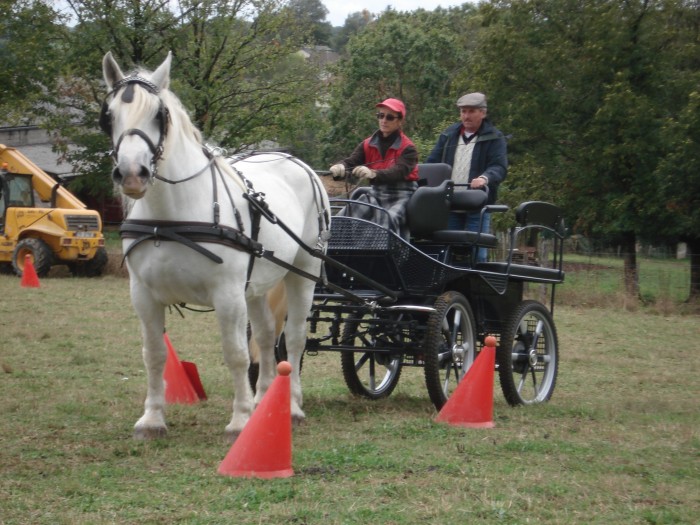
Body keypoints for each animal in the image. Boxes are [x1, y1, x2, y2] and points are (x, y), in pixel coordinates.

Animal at [101, 52, 330, 438]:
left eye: (159, 114)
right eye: (109, 114)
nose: (132, 174)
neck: (172, 217)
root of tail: (297, 162)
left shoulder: (227, 294)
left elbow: (235, 353)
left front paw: (240, 420)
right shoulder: (143, 295)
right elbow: (154, 354)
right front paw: (152, 419)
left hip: (303, 273)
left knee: (295, 338)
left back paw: (293, 407)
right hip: (256, 286)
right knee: (266, 336)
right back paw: (264, 402)